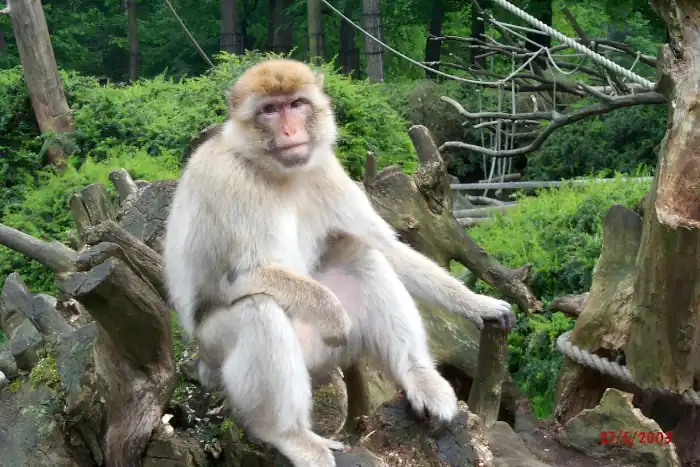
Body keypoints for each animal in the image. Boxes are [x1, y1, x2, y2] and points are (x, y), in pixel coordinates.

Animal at [162, 58, 516, 467]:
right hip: (217, 353)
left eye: (296, 104)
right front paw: (334, 316)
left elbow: (387, 249)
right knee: (258, 311)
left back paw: (419, 376)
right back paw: (290, 435)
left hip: (321, 358)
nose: (289, 129)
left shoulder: (325, 171)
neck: (278, 172)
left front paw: (479, 304)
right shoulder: (230, 183)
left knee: (361, 256)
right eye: (269, 110)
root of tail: (199, 366)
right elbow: (239, 276)